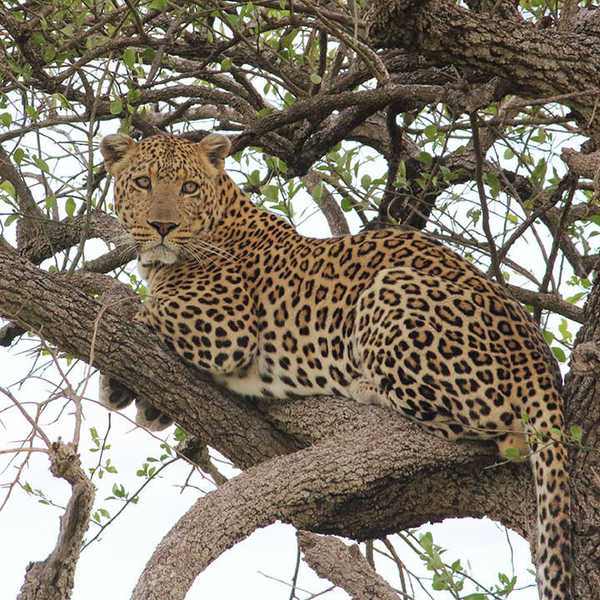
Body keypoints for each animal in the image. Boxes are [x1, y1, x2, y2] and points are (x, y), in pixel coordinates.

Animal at [98, 132, 572, 600]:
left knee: (474, 428)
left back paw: (364, 387)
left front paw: (117, 364)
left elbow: (141, 308)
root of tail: (542, 363)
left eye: (189, 188)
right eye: (142, 183)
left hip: (390, 289)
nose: (162, 227)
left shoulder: (226, 327)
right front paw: (136, 398)